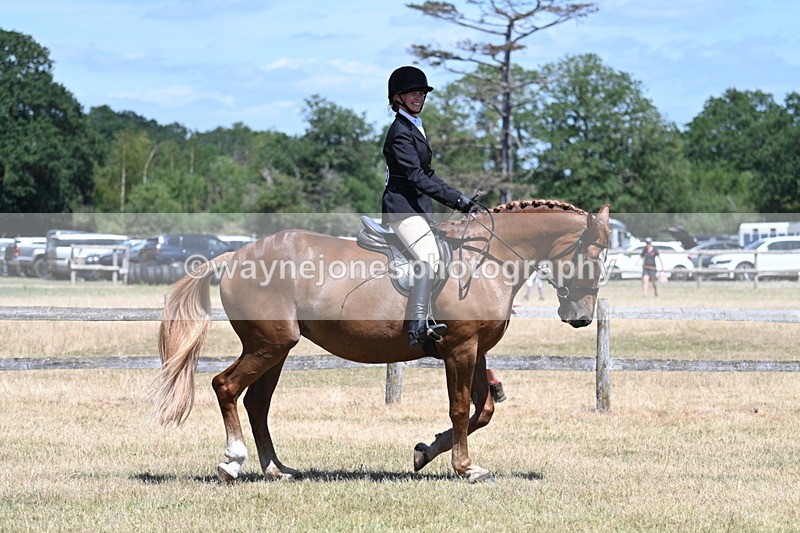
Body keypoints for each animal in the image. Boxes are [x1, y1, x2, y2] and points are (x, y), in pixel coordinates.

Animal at [151, 200, 611, 483]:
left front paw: (425, 451)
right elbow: (461, 408)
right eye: (591, 257)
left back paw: (276, 469)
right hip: (268, 345)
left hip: (276, 349)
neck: (487, 260)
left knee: (257, 403)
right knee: (225, 386)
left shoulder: (476, 350)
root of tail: (235, 256)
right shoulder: (460, 349)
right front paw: (464, 467)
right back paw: (232, 463)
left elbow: (483, 410)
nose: (581, 317)